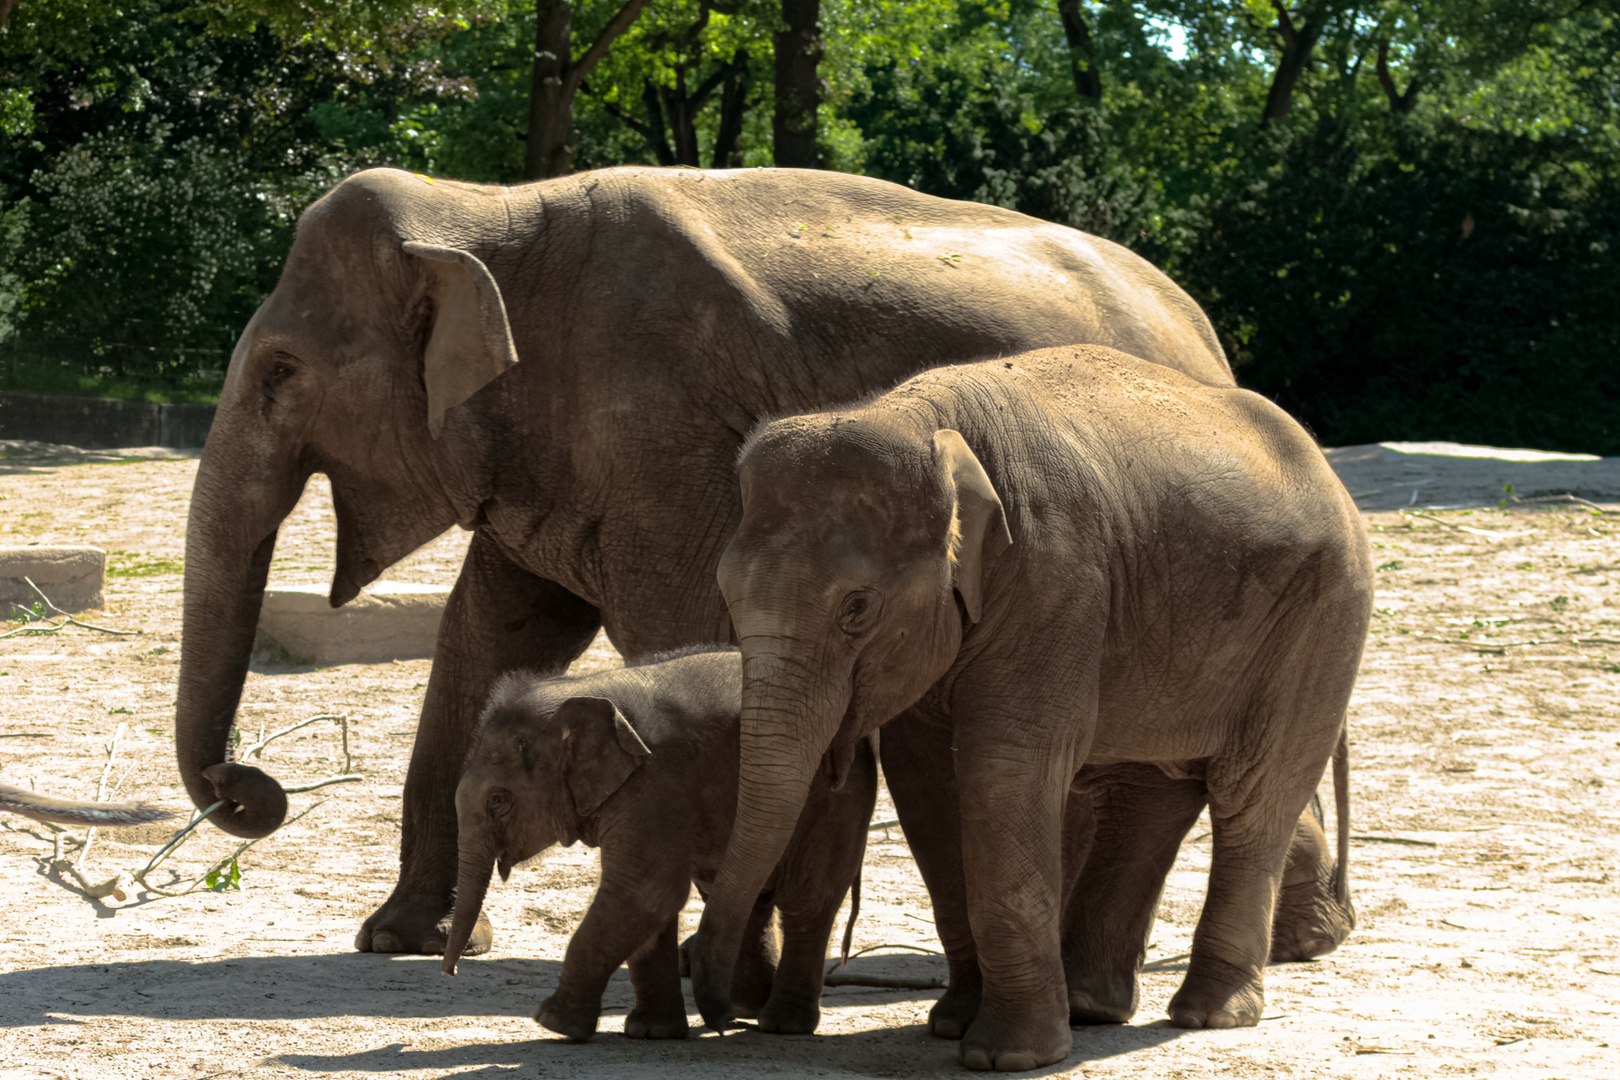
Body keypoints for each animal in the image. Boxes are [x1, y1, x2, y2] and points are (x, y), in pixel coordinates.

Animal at [170, 160, 1237, 952]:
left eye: (280, 373)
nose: (247, 787)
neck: (486, 209)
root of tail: (1208, 333)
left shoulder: (662, 429)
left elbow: (675, 632)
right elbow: (492, 634)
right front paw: (397, 937)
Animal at [440, 647, 874, 1042]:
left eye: (498, 800)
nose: (451, 971)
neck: (585, 688)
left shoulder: (656, 782)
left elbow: (644, 892)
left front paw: (552, 1021)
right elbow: (649, 905)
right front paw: (651, 1032)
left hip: (835, 801)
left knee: (808, 900)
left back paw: (781, 1024)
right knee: (744, 893)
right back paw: (742, 1007)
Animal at [690, 348, 1373, 1075]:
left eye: (857, 608)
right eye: (726, 595)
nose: (725, 1016)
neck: (917, 419)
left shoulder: (1054, 575)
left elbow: (1005, 770)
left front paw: (1007, 1056)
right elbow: (925, 781)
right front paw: (952, 1024)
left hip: (1324, 614)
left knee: (1252, 799)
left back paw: (1208, 1015)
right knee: (1149, 792)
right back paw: (1093, 1006)